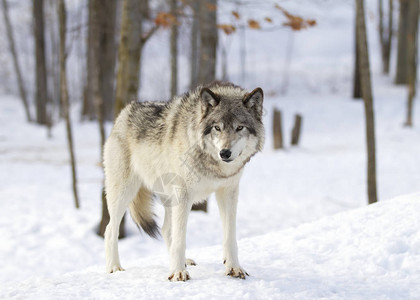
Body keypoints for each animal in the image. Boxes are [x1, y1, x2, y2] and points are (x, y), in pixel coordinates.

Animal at [103, 81, 264, 282]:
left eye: (239, 128)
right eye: (217, 128)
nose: (225, 153)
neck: (212, 165)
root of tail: (123, 113)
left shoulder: (228, 192)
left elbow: (230, 237)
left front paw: (234, 268)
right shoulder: (184, 193)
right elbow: (180, 239)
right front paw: (178, 273)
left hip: (169, 199)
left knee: (165, 229)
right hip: (124, 194)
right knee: (110, 229)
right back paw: (114, 267)